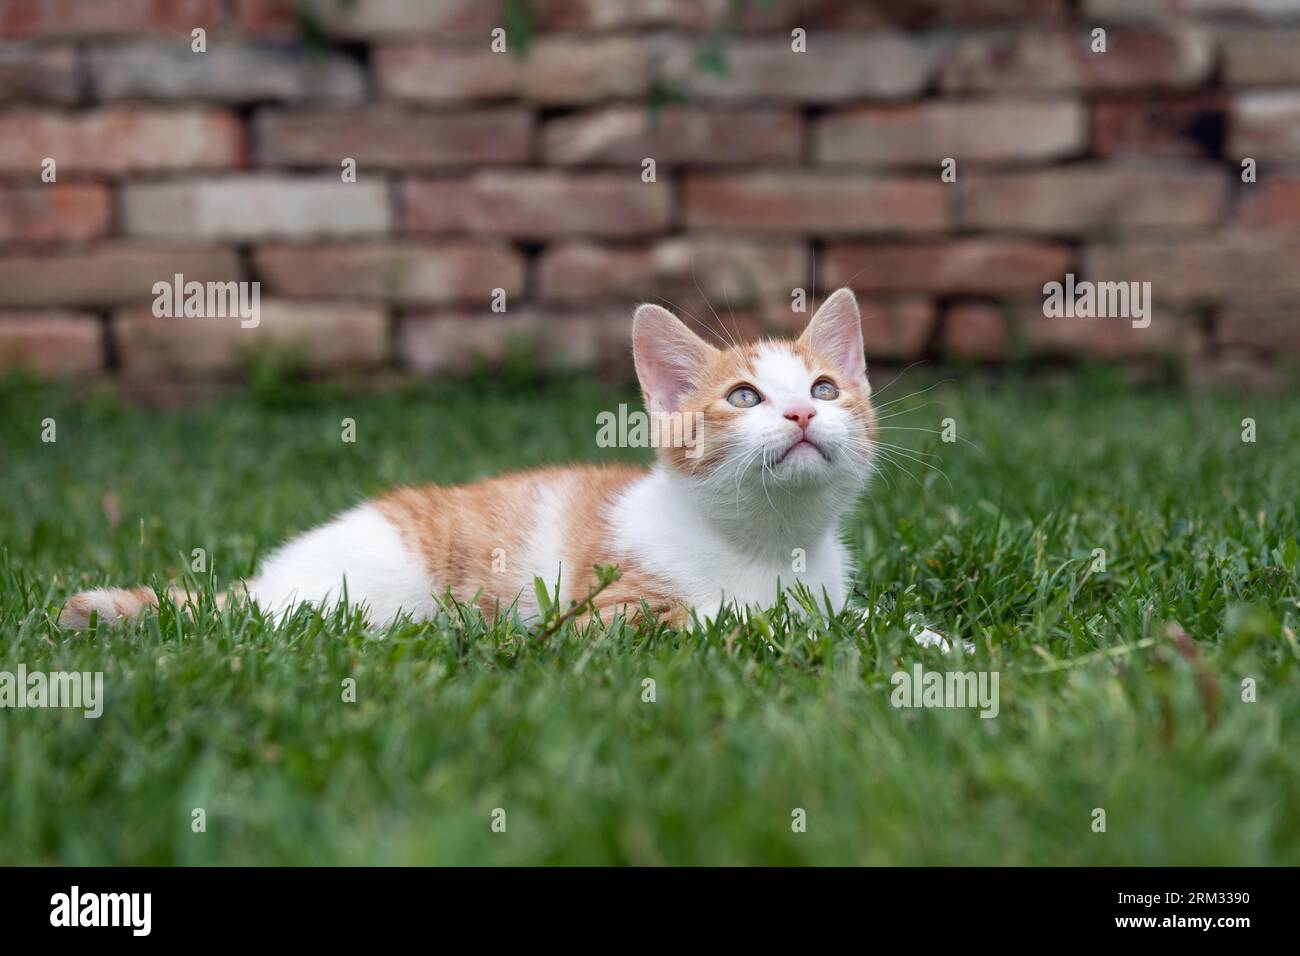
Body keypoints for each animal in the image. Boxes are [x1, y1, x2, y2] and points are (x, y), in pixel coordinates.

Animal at [55, 290, 878, 634]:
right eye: (743, 396)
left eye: (824, 388)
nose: (802, 413)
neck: (772, 546)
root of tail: (264, 583)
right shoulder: (604, 612)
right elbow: (707, 617)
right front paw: (759, 619)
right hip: (375, 594)